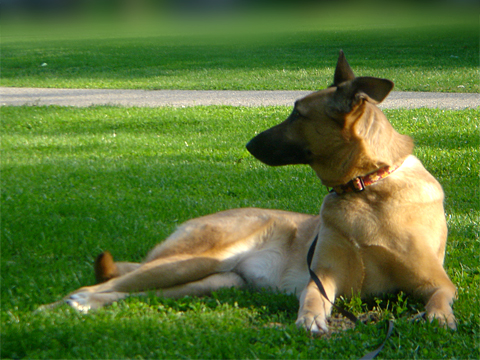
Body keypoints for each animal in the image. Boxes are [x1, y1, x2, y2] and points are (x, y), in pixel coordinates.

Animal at [43, 50, 456, 332]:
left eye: (298, 114)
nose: (248, 144)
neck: (366, 188)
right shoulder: (322, 277)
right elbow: (311, 298)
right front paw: (309, 320)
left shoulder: (435, 281)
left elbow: (441, 297)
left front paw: (439, 317)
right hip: (192, 260)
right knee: (102, 284)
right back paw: (58, 307)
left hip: (208, 282)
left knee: (128, 294)